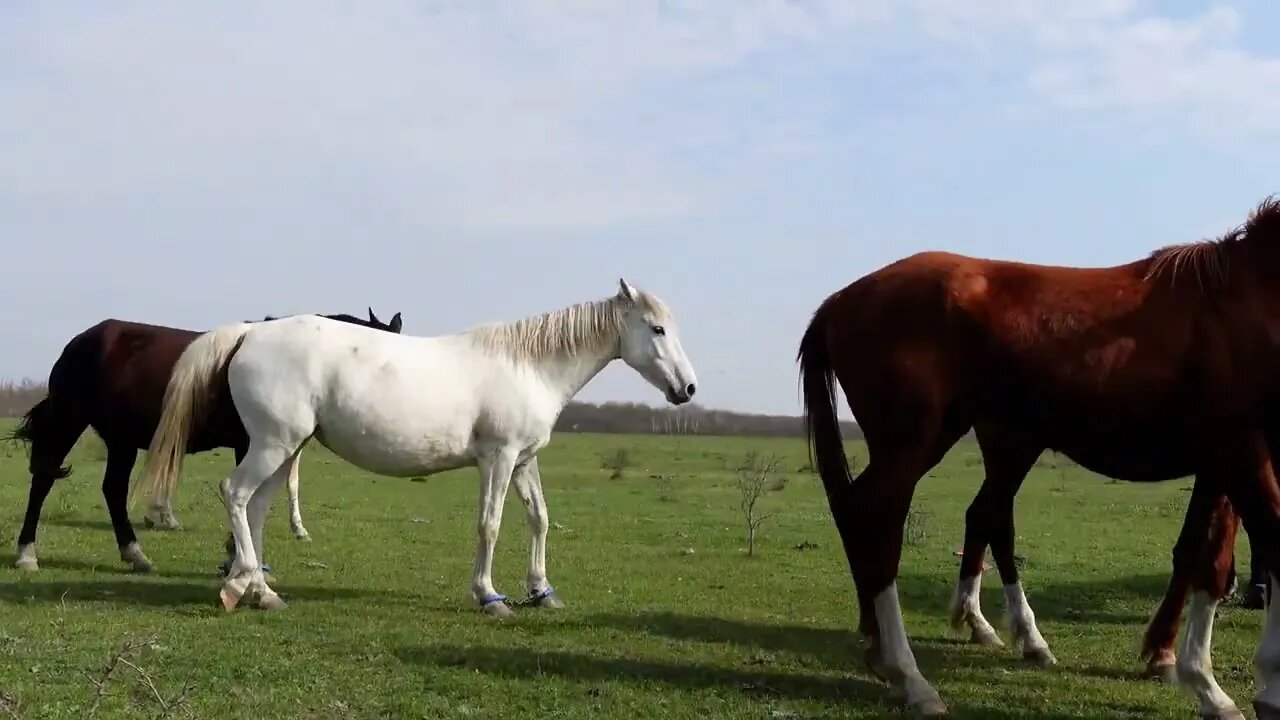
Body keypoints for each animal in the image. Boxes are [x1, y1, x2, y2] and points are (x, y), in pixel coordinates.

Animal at [5, 307, 401, 571]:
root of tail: (81, 341)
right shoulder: (253, 443)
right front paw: (238, 553)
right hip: (70, 422)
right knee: (44, 480)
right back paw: (27, 553)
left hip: (121, 439)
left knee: (113, 490)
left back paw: (134, 553)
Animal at [127, 279, 701, 609]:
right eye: (656, 329)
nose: (688, 389)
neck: (528, 365)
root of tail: (250, 333)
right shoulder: (498, 459)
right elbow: (490, 525)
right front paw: (489, 595)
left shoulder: (523, 461)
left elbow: (538, 519)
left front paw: (542, 590)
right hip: (272, 445)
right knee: (236, 495)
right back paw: (244, 585)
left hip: (283, 449)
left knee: (257, 507)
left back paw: (258, 590)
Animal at [793, 197, 1280, 717]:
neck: (1250, 300)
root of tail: (839, 301)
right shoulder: (1241, 451)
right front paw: (1220, 684)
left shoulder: (1224, 462)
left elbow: (1208, 556)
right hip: (914, 448)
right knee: (882, 526)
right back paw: (912, 676)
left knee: (940, 515)